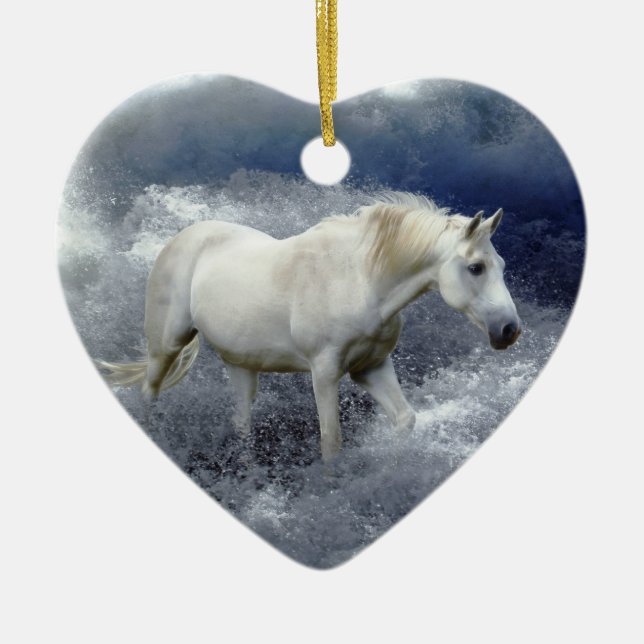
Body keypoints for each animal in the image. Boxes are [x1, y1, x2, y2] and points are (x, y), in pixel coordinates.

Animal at [98, 193, 521, 462]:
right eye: (475, 268)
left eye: (501, 265)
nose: (509, 330)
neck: (360, 280)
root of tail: (179, 239)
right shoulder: (325, 373)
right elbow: (331, 442)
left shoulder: (372, 368)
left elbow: (405, 420)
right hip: (167, 343)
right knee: (150, 388)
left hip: (241, 365)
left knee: (241, 421)